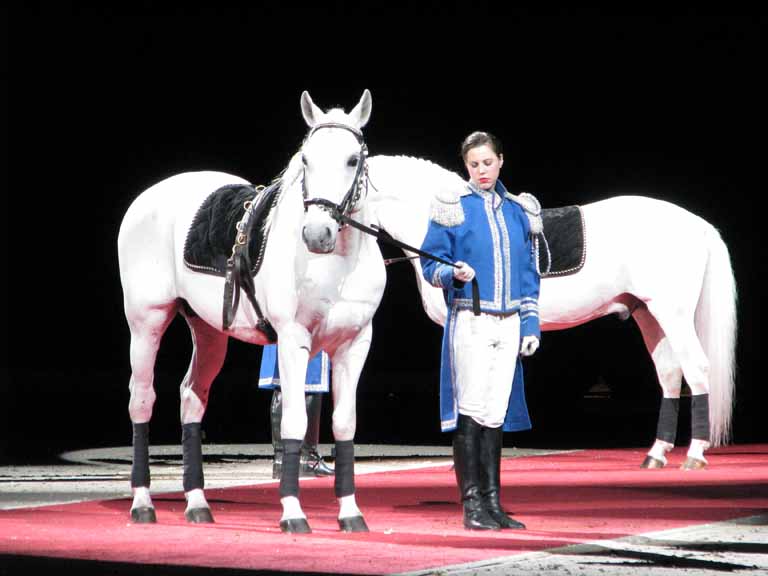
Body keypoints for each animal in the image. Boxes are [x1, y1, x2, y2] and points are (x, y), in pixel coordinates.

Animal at [118, 89, 384, 532]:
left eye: (352, 159)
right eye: (306, 159)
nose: (317, 234)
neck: (336, 264)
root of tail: (148, 197)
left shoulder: (355, 344)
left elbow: (345, 424)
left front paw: (351, 512)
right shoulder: (292, 342)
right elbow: (293, 420)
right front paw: (293, 512)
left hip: (208, 330)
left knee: (191, 397)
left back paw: (197, 503)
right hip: (146, 322)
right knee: (141, 399)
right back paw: (142, 503)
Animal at [366, 155, 736, 470]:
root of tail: (698, 224)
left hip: (673, 313)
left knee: (696, 368)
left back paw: (694, 454)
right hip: (648, 313)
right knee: (671, 373)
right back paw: (656, 454)